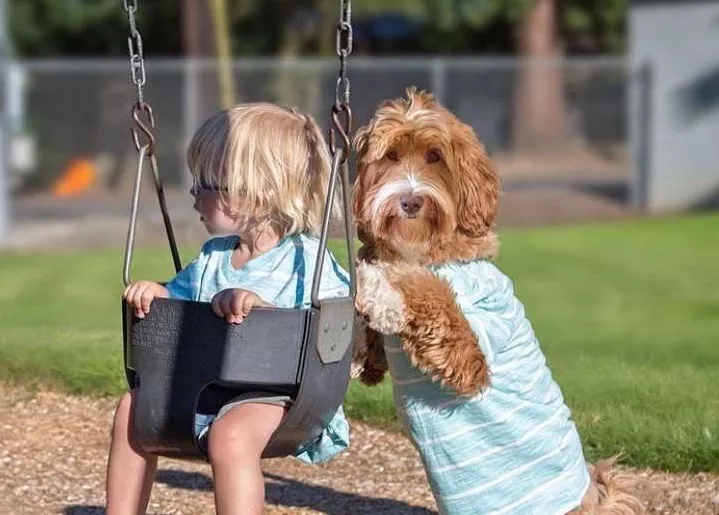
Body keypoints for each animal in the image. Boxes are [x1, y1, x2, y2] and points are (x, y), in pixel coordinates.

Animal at [352, 88, 644, 515]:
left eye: (434, 157)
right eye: (390, 156)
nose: (410, 201)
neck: (430, 246)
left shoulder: (470, 353)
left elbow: (431, 291)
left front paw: (376, 281)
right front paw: (362, 347)